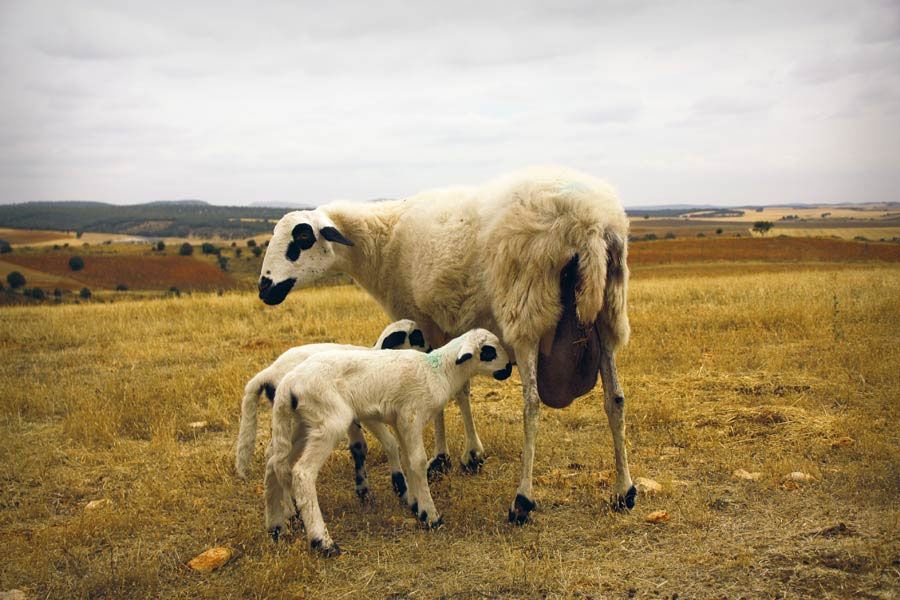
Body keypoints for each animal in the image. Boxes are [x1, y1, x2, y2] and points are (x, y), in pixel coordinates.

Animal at [234, 318, 428, 502]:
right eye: (417, 336)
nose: (430, 349)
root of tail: (267, 374)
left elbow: (359, 446)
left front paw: (364, 491)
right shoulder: (367, 413)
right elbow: (390, 443)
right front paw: (400, 488)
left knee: (274, 454)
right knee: (277, 457)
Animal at [256, 165, 636, 524]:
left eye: (300, 240)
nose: (264, 289)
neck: (383, 242)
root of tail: (590, 221)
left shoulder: (423, 323)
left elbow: (438, 389)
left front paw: (441, 459)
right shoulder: (454, 327)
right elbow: (461, 388)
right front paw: (472, 455)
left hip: (527, 310)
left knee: (532, 404)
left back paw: (522, 501)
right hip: (608, 314)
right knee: (615, 399)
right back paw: (624, 491)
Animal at [264, 326, 510, 556]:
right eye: (489, 351)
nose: (508, 369)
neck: (439, 371)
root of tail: (287, 386)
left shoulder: (400, 422)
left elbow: (408, 461)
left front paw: (416, 506)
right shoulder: (411, 415)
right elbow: (418, 462)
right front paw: (431, 516)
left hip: (300, 425)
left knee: (274, 464)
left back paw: (276, 527)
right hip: (329, 421)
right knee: (302, 472)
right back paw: (322, 542)